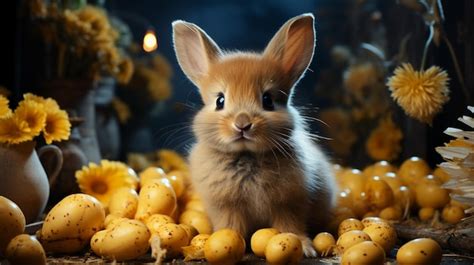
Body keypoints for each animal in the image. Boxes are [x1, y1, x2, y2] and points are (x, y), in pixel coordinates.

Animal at [172, 13, 338, 255]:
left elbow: (290, 226)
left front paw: (305, 248)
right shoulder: (227, 208)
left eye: (268, 100)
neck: (247, 155)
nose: (242, 124)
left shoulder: (289, 204)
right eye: (220, 101)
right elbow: (231, 228)